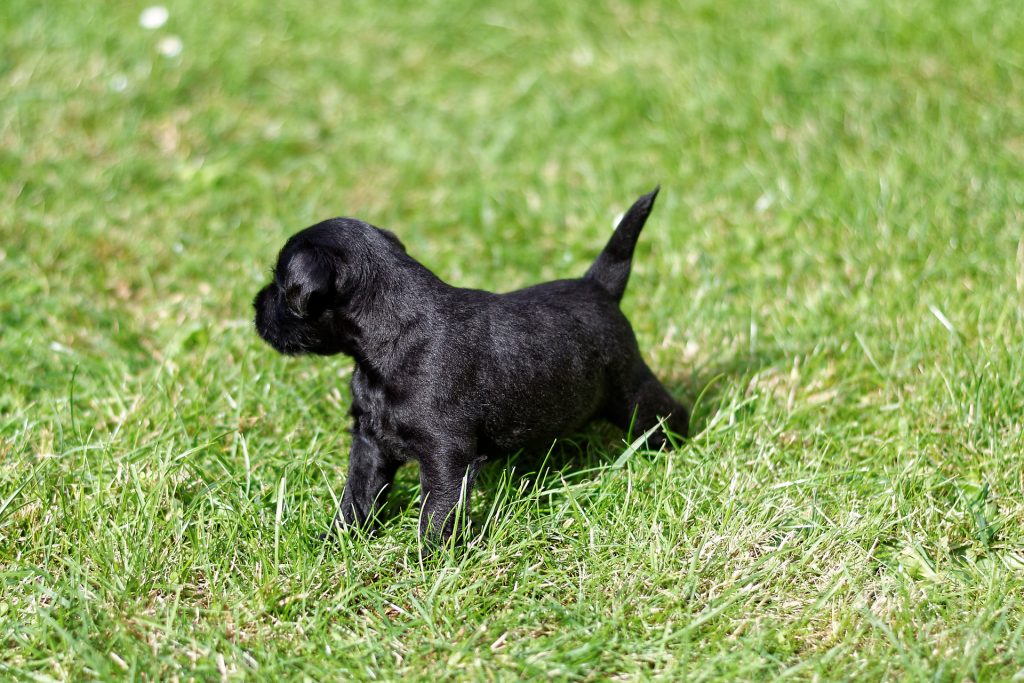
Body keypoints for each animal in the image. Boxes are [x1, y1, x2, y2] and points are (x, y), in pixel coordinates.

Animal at [254, 189, 688, 552]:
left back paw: (680, 448)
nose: (256, 304)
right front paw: (338, 540)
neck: (389, 341)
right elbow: (357, 495)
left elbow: (435, 513)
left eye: (281, 286)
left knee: (667, 412)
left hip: (630, 391)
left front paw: (429, 561)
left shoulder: (447, 455)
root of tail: (598, 286)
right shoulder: (369, 441)